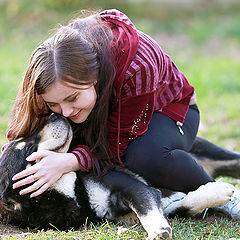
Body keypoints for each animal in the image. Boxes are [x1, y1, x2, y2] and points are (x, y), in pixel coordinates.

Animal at [0, 113, 238, 239]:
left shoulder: (136, 189)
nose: (54, 114)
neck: (76, 193)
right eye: (29, 149)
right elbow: (186, 205)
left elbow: (149, 211)